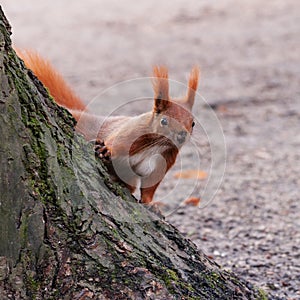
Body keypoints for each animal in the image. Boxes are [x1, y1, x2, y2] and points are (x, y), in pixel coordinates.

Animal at [17, 50, 199, 204]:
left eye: (193, 123)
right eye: (164, 121)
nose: (181, 135)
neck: (158, 144)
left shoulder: (164, 160)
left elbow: (150, 185)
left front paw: (150, 204)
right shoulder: (129, 134)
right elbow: (116, 143)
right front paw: (105, 150)